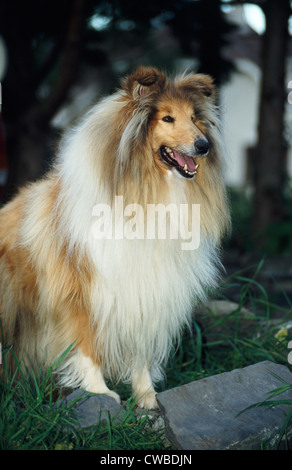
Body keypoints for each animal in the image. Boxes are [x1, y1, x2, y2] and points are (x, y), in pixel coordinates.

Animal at [0, 66, 230, 408]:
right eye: (167, 118)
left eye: (193, 117)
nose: (204, 146)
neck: (149, 192)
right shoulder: (81, 292)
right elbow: (86, 344)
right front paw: (99, 393)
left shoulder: (144, 290)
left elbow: (140, 351)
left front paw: (147, 398)